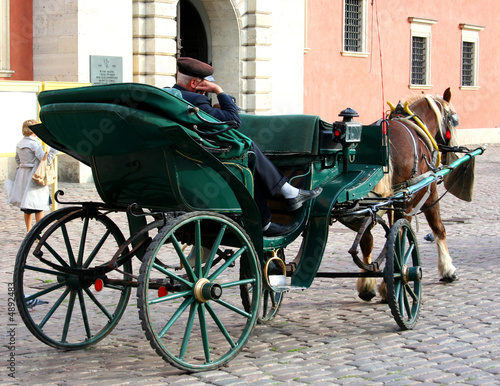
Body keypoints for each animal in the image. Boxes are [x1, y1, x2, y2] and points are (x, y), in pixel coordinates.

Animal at [356, 88, 460, 302]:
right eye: (454, 120)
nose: (452, 149)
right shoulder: (429, 191)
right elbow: (438, 228)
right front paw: (448, 269)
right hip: (404, 201)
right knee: (398, 238)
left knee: (367, 239)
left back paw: (368, 285)